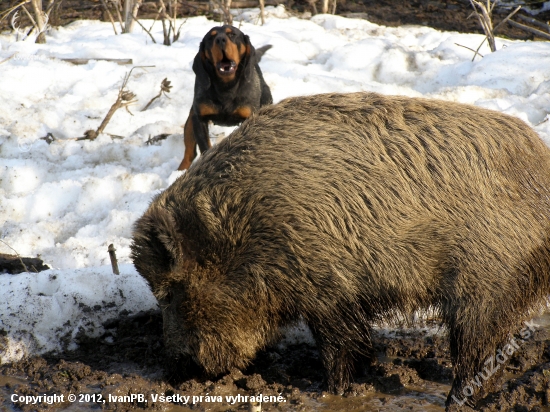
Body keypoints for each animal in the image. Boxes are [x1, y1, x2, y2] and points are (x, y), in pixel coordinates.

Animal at [179, 25, 274, 171]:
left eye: (232, 34)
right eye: (211, 37)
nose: (220, 40)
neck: (226, 87)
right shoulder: (199, 119)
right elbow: (205, 147)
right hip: (191, 119)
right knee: (189, 152)